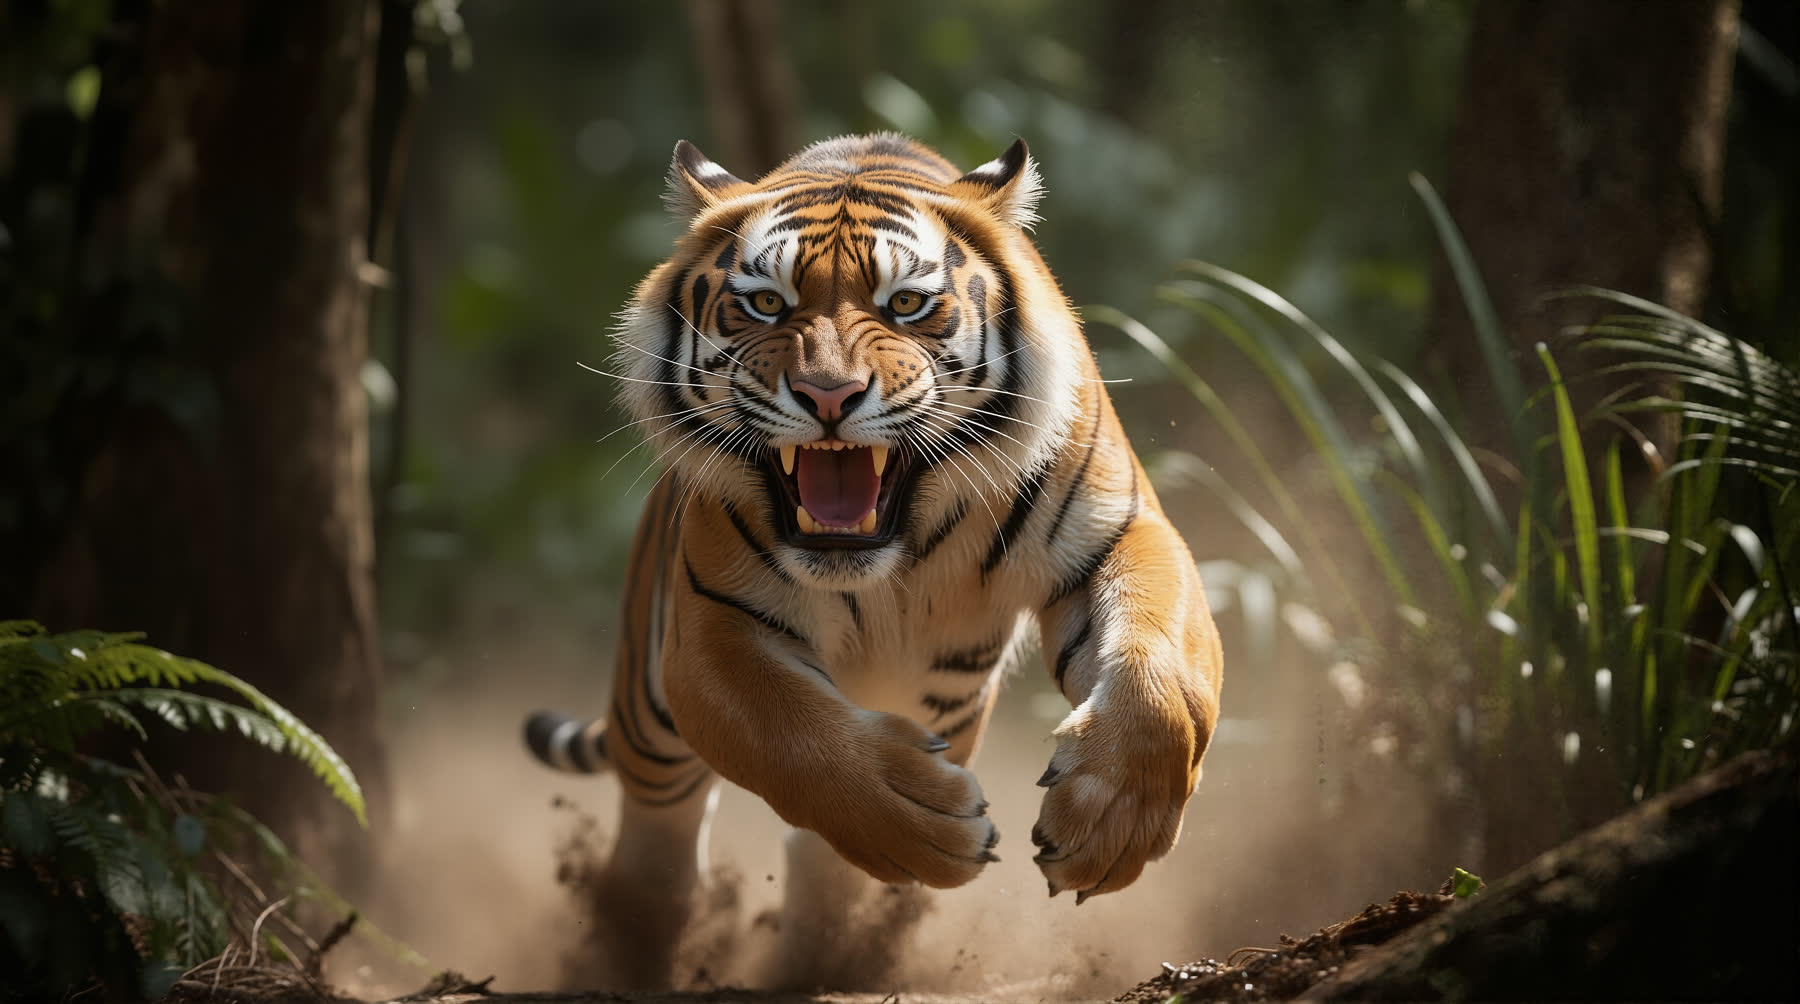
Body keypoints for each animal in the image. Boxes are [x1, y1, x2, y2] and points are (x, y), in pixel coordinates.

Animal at [524, 133, 1223, 987]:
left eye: (906, 305)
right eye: (767, 304)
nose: (828, 396)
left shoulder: (1123, 533)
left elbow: (1164, 687)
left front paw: (1109, 825)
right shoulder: (708, 628)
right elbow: (791, 736)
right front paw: (927, 823)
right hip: (647, 714)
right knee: (655, 848)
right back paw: (635, 954)